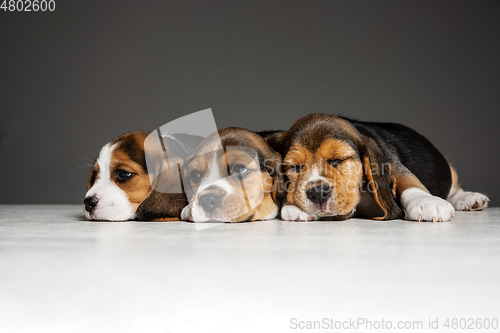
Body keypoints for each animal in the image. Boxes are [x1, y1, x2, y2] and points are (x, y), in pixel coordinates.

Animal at [270, 113, 488, 222]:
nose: (317, 193)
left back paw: (469, 198)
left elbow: (409, 182)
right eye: (296, 167)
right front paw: (292, 206)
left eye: (338, 160)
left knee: (455, 188)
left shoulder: (391, 163)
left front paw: (426, 202)